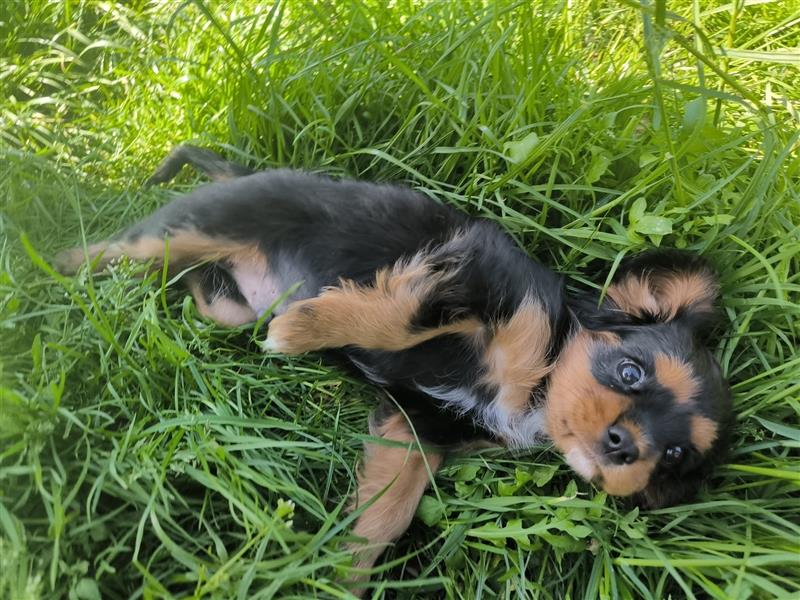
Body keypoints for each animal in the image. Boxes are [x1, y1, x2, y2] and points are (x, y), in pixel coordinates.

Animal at [56, 148, 732, 584]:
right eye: (630, 372)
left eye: (676, 456)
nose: (624, 446)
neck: (536, 386)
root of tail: (245, 172)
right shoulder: (476, 273)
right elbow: (396, 317)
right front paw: (302, 329)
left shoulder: (417, 433)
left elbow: (384, 516)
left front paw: (334, 579)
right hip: (190, 227)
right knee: (107, 249)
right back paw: (53, 269)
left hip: (228, 304)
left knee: (195, 286)